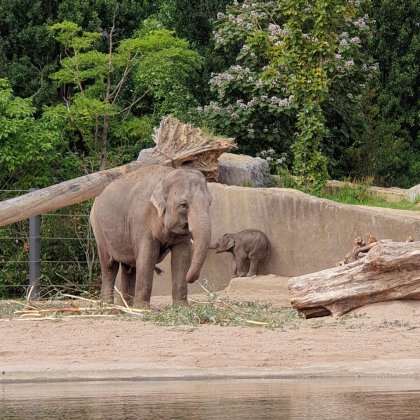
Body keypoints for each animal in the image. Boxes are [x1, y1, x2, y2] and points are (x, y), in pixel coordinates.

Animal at [90, 165, 212, 308]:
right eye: (184, 205)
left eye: (210, 203)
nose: (192, 278)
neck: (165, 176)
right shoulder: (141, 218)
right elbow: (147, 256)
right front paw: (143, 309)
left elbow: (182, 257)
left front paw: (182, 307)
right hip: (99, 229)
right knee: (109, 266)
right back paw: (109, 308)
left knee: (129, 268)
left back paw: (125, 308)